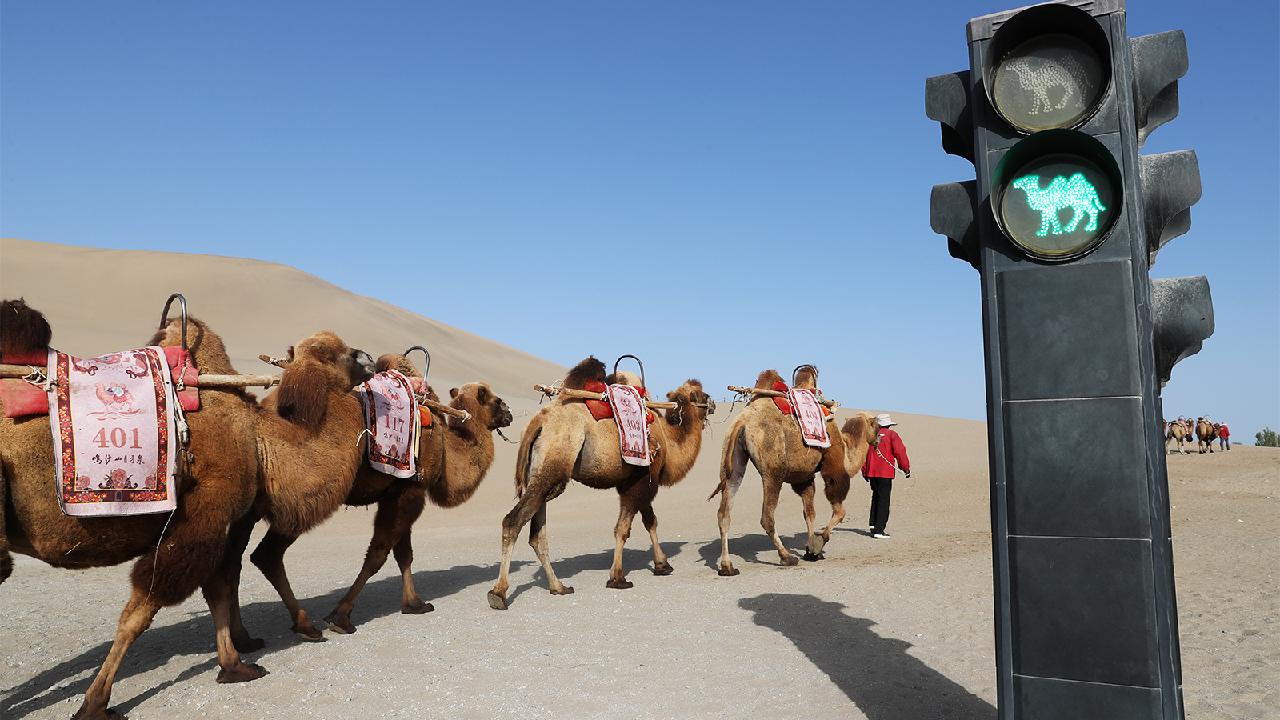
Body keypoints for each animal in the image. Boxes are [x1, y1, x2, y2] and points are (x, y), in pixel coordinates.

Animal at [0, 298, 371, 717]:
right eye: (341, 354)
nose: (370, 358)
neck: (261, 442)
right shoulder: (204, 512)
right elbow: (145, 609)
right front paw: (95, 702)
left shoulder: (220, 520)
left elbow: (217, 586)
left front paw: (234, 663)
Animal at [244, 351, 509, 635]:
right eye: (495, 400)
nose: (510, 413)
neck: (446, 447)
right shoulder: (411, 492)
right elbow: (378, 554)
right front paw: (340, 616)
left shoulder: (398, 492)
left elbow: (404, 553)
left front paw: (414, 604)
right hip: (302, 495)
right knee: (267, 554)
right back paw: (303, 624)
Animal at [483, 356, 716, 607]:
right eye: (702, 395)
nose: (712, 404)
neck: (667, 439)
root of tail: (538, 421)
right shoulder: (643, 479)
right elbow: (623, 528)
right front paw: (618, 577)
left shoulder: (635, 480)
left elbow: (650, 521)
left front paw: (662, 565)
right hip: (554, 465)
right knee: (513, 521)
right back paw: (498, 593)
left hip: (540, 473)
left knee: (537, 533)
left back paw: (558, 587)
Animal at [711, 366, 880, 573]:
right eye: (877, 426)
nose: (879, 440)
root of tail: (742, 422)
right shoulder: (833, 462)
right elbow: (839, 509)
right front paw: (818, 543)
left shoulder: (804, 477)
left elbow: (809, 513)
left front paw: (811, 551)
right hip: (773, 471)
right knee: (767, 516)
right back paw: (786, 557)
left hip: (732, 462)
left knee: (724, 513)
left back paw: (727, 566)